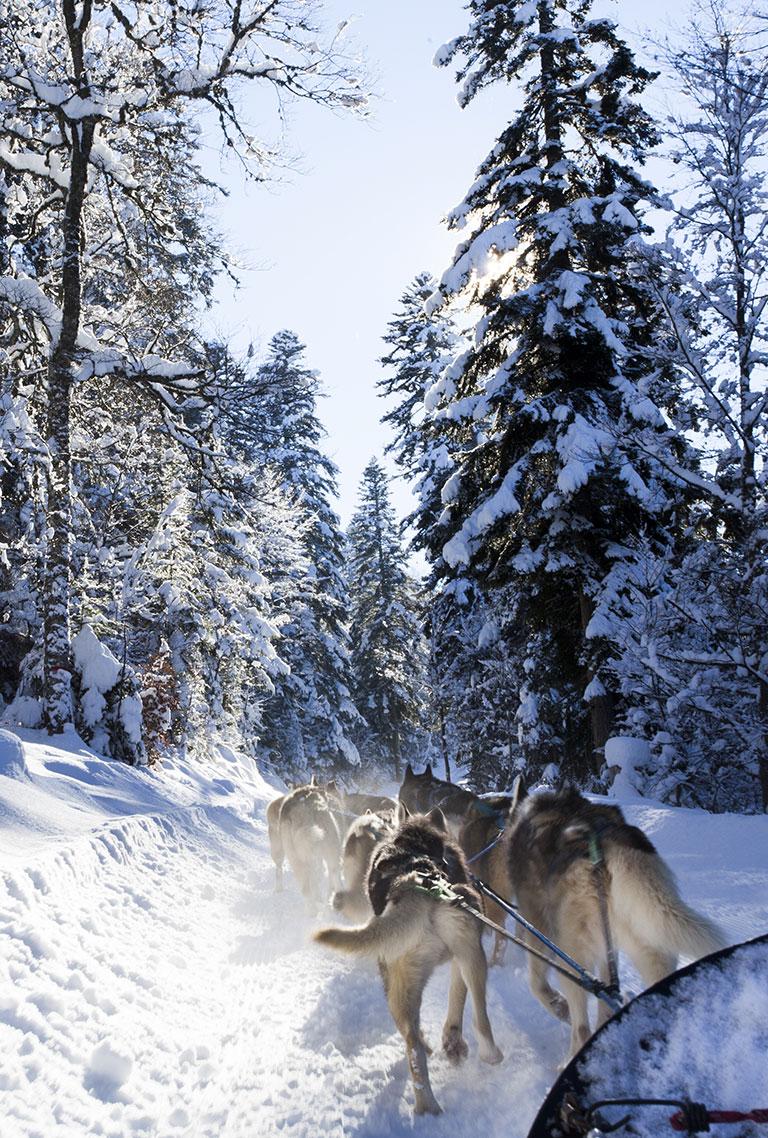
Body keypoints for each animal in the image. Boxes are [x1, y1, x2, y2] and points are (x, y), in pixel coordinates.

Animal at [314, 810, 505, 1110]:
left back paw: (428, 1103)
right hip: (468, 949)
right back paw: (487, 1054)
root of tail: (414, 890)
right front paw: (452, 1040)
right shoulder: (459, 958)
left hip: (402, 979)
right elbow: (457, 997)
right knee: (478, 1011)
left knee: (413, 1044)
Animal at [505, 787, 728, 1060]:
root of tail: (608, 844)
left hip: (574, 952)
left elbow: (537, 983)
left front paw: (557, 1006)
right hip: (646, 942)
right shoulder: (606, 948)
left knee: (581, 1026)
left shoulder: (538, 925)